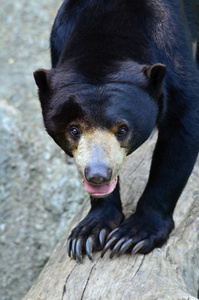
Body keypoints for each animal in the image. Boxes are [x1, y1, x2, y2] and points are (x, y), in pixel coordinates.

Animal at [33, 0, 199, 262]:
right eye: (74, 130)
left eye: (122, 130)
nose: (98, 175)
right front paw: (90, 232)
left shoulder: (173, 54)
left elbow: (182, 131)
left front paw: (134, 235)